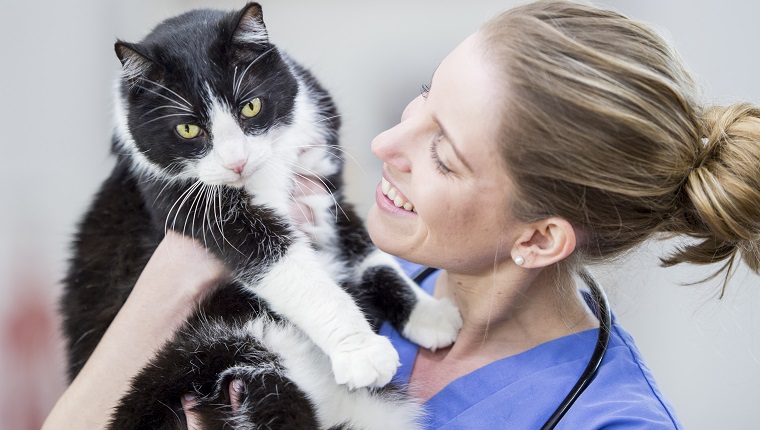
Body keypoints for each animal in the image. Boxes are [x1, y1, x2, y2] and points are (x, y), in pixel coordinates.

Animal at [59, 3, 460, 430]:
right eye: (187, 129)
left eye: (250, 106)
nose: (237, 162)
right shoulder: (191, 202)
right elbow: (291, 271)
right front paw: (362, 351)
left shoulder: (323, 184)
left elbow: (370, 254)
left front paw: (428, 313)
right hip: (219, 354)